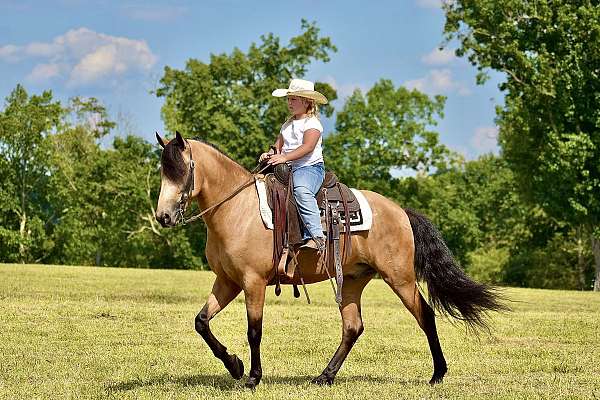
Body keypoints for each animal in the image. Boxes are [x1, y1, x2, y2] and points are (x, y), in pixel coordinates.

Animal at [152, 133, 504, 390]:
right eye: (162, 171)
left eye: (180, 170)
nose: (163, 216)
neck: (238, 209)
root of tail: (401, 212)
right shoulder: (227, 281)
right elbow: (202, 321)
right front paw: (235, 365)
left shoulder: (253, 282)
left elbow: (254, 331)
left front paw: (252, 377)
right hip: (353, 281)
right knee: (353, 327)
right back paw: (325, 376)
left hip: (400, 278)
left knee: (425, 315)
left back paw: (437, 374)